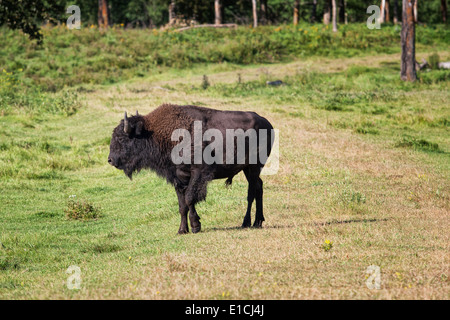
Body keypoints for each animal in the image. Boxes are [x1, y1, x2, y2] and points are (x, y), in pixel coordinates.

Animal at [109, 104, 274, 232]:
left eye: (121, 138)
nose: (110, 159)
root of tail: (267, 123)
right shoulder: (178, 178)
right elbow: (182, 205)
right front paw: (182, 230)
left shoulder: (198, 173)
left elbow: (189, 198)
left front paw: (195, 226)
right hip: (248, 169)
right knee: (259, 186)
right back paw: (258, 221)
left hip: (253, 167)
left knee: (251, 192)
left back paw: (247, 223)